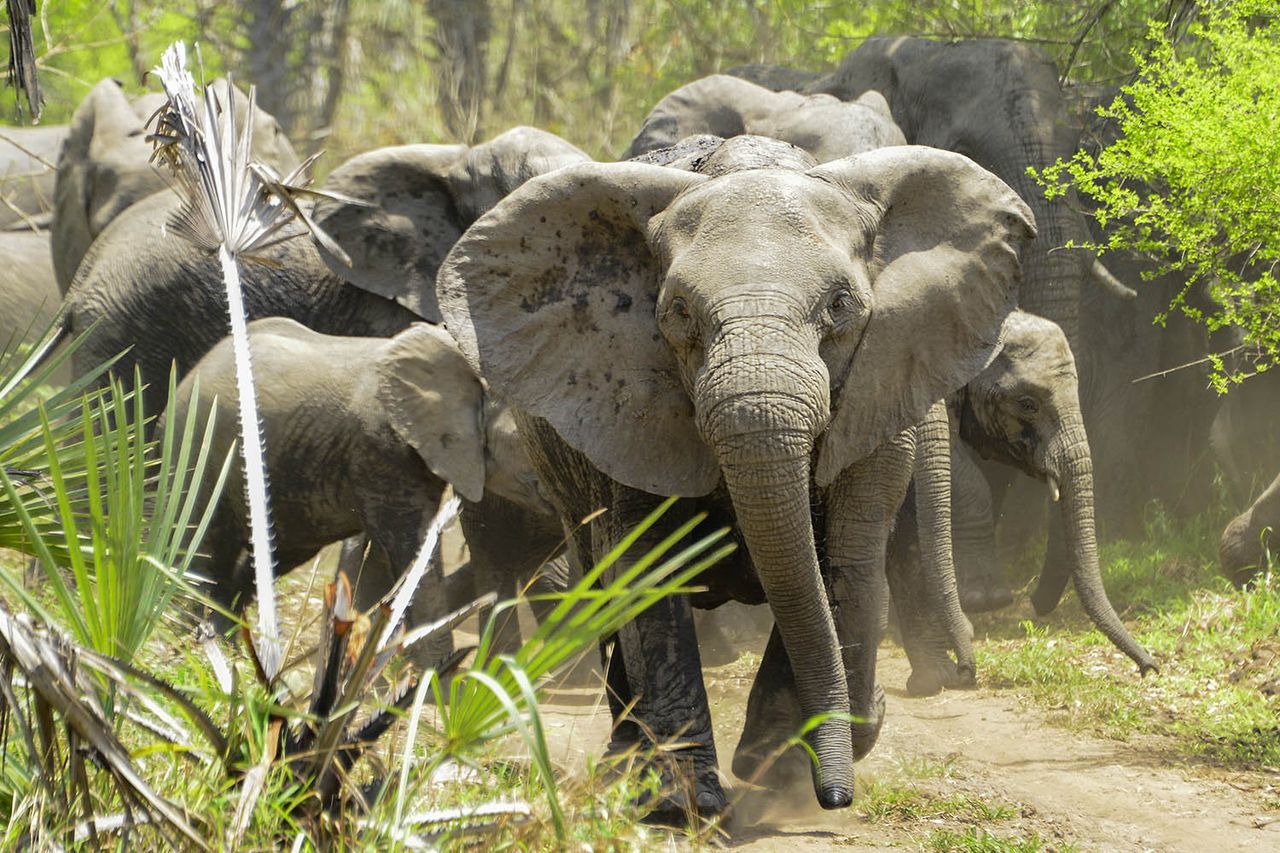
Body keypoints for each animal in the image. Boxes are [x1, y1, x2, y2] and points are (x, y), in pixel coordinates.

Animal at [165, 317, 563, 661]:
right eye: (539, 440)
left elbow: (383, 565)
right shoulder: (382, 451)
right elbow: (414, 560)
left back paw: (225, 649)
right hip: (196, 440)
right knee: (200, 540)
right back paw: (187, 646)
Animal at [435, 134, 1036, 815]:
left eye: (840, 306)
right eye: (678, 312)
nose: (837, 797)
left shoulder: (879, 392)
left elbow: (840, 565)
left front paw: (776, 769)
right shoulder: (628, 403)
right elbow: (645, 572)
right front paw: (685, 803)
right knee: (598, 579)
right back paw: (627, 769)